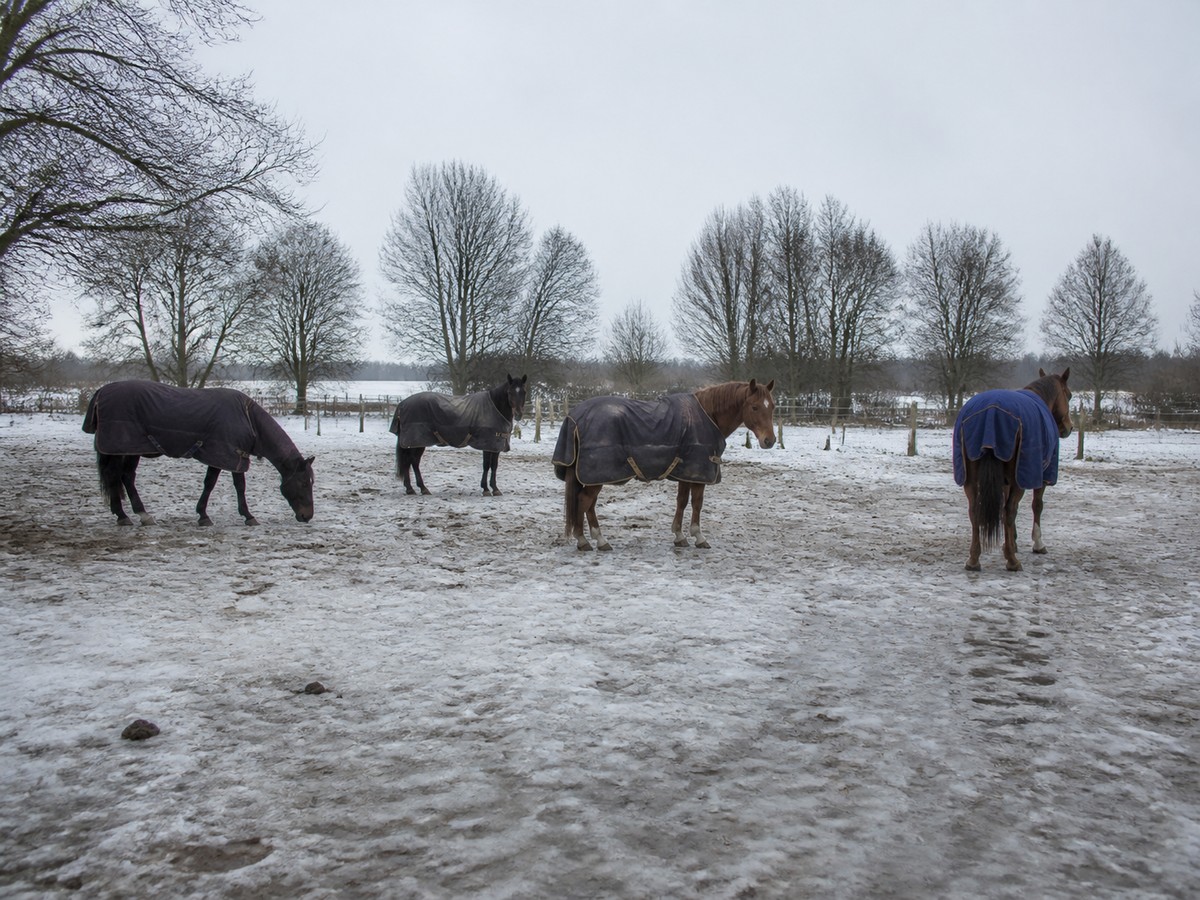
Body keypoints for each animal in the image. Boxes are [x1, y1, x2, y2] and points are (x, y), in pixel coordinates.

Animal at [82, 380, 315, 526]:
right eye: (305, 483)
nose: (307, 516)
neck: (248, 418)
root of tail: (101, 392)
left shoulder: (223, 456)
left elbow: (209, 483)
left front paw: (203, 515)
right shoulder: (232, 456)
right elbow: (237, 486)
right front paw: (247, 516)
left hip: (130, 448)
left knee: (123, 478)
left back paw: (135, 515)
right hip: (126, 448)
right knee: (119, 477)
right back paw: (129, 515)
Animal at [389, 375, 528, 496]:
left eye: (524, 392)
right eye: (510, 392)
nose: (518, 414)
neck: (495, 407)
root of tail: (402, 405)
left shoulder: (495, 445)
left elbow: (494, 466)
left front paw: (495, 489)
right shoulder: (487, 444)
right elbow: (486, 465)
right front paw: (486, 489)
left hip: (417, 443)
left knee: (412, 462)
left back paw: (416, 488)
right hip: (416, 441)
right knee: (411, 462)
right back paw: (417, 488)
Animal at [553, 379, 776, 550]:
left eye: (772, 406)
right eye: (754, 407)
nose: (770, 441)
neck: (708, 415)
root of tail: (575, 416)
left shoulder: (685, 472)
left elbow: (682, 502)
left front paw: (679, 536)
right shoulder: (698, 473)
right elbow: (697, 503)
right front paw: (698, 536)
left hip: (592, 477)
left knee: (587, 504)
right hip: (597, 475)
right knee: (584, 502)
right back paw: (589, 540)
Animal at [953, 368, 1073, 571]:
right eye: (1069, 395)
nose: (1069, 428)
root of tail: (991, 412)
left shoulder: (1004, 480)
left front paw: (1011, 542)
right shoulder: (1039, 475)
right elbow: (1036, 505)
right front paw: (1037, 544)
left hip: (970, 479)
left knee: (975, 512)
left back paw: (974, 559)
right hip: (1019, 478)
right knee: (1010, 511)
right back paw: (1012, 561)